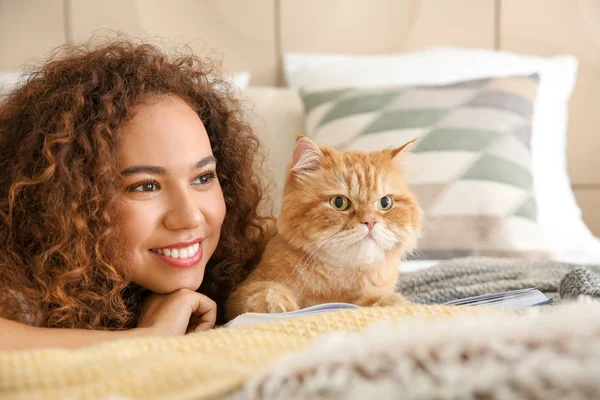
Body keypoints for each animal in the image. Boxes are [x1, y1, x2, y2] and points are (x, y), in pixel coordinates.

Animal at [224, 136, 422, 320]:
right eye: (339, 202)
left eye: (385, 202)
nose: (370, 222)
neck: (338, 277)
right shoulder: (240, 293)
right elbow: (266, 291)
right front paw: (277, 305)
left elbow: (369, 297)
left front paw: (394, 303)